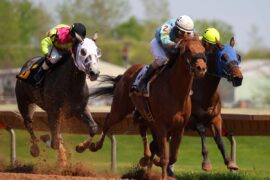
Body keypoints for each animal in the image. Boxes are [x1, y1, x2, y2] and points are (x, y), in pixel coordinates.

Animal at [15, 37, 101, 166]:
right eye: (83, 51)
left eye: (97, 52)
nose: (94, 72)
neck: (71, 84)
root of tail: (25, 66)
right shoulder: (54, 110)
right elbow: (54, 142)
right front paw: (46, 138)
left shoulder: (80, 109)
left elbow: (93, 127)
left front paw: (80, 147)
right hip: (25, 102)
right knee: (28, 124)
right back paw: (35, 149)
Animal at [77, 34, 208, 179]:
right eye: (188, 50)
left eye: (204, 49)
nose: (201, 68)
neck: (175, 91)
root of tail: (126, 72)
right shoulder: (162, 126)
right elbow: (165, 157)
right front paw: (162, 174)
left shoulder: (179, 127)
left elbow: (172, 157)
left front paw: (155, 162)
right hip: (120, 108)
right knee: (107, 122)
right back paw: (88, 146)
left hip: (145, 116)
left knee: (142, 130)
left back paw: (146, 158)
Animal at [188, 37, 243, 171]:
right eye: (223, 57)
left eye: (238, 56)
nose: (238, 78)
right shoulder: (190, 120)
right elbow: (202, 130)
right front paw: (206, 163)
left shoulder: (216, 118)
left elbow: (219, 139)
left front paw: (230, 162)